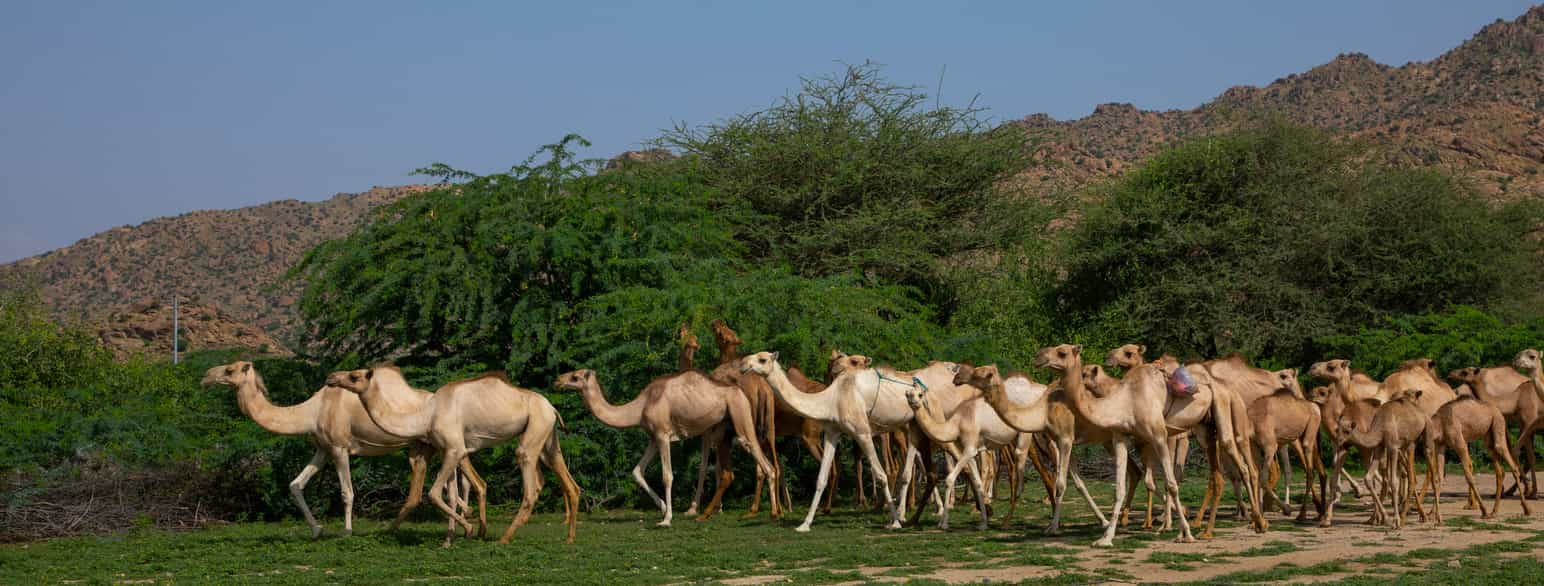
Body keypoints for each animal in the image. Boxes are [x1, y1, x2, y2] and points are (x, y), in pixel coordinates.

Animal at [200, 362, 481, 539]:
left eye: (229, 369)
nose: (205, 376)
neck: (311, 412)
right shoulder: (322, 449)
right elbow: (295, 485)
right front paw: (317, 531)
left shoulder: (339, 447)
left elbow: (346, 492)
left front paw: (347, 531)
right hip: (423, 446)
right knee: (450, 485)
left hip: (434, 442)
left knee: (456, 483)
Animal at [328, 367, 580, 545]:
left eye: (354, 376)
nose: (331, 378)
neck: (426, 416)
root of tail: (552, 408)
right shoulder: (446, 449)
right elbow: (449, 494)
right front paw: (449, 540)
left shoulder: (455, 449)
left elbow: (433, 493)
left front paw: (468, 529)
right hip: (548, 437)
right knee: (569, 482)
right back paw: (569, 538)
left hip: (534, 433)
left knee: (530, 486)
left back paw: (504, 538)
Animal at [552, 367, 772, 527]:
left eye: (575, 377)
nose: (557, 380)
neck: (640, 407)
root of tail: (741, 391)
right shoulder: (652, 437)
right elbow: (637, 471)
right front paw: (665, 508)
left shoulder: (663, 434)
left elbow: (667, 476)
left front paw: (666, 520)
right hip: (724, 426)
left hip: (739, 411)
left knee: (759, 455)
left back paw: (770, 513)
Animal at [1414, 393, 1531, 521]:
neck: (1440, 423)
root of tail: (1498, 411)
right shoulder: (1441, 445)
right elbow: (1439, 477)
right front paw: (1431, 513)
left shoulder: (1460, 444)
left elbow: (1468, 476)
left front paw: (1484, 511)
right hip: (1488, 439)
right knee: (1500, 471)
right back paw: (1494, 512)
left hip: (1497, 425)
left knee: (1512, 465)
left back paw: (1526, 509)